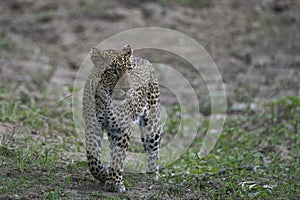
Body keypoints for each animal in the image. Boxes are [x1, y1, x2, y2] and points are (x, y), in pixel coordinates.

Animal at [82, 44, 162, 192]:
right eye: (113, 71)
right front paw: (104, 174)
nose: (127, 88)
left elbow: (119, 156)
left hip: (152, 125)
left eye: (129, 70)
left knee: (153, 150)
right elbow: (93, 160)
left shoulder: (122, 128)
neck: (107, 100)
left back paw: (152, 174)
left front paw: (114, 182)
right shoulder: (93, 126)